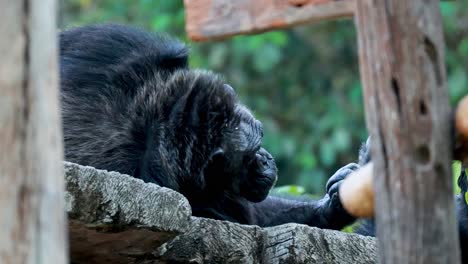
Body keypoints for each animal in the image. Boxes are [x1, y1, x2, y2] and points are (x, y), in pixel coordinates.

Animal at [60, 24, 356, 230]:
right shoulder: (162, 185)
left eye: (259, 140)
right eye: (249, 157)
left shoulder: (115, 44)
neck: (152, 114)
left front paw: (334, 203)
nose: (265, 159)